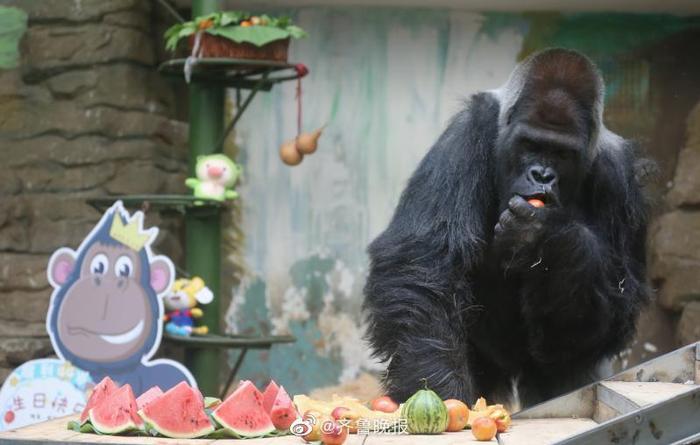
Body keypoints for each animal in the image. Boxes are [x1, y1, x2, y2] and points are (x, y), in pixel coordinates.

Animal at [366, 47, 652, 406]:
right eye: (530, 145)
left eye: (562, 153)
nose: (542, 175)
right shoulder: (468, 131)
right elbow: (424, 259)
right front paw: (438, 387)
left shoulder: (620, 177)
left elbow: (616, 311)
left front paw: (553, 242)